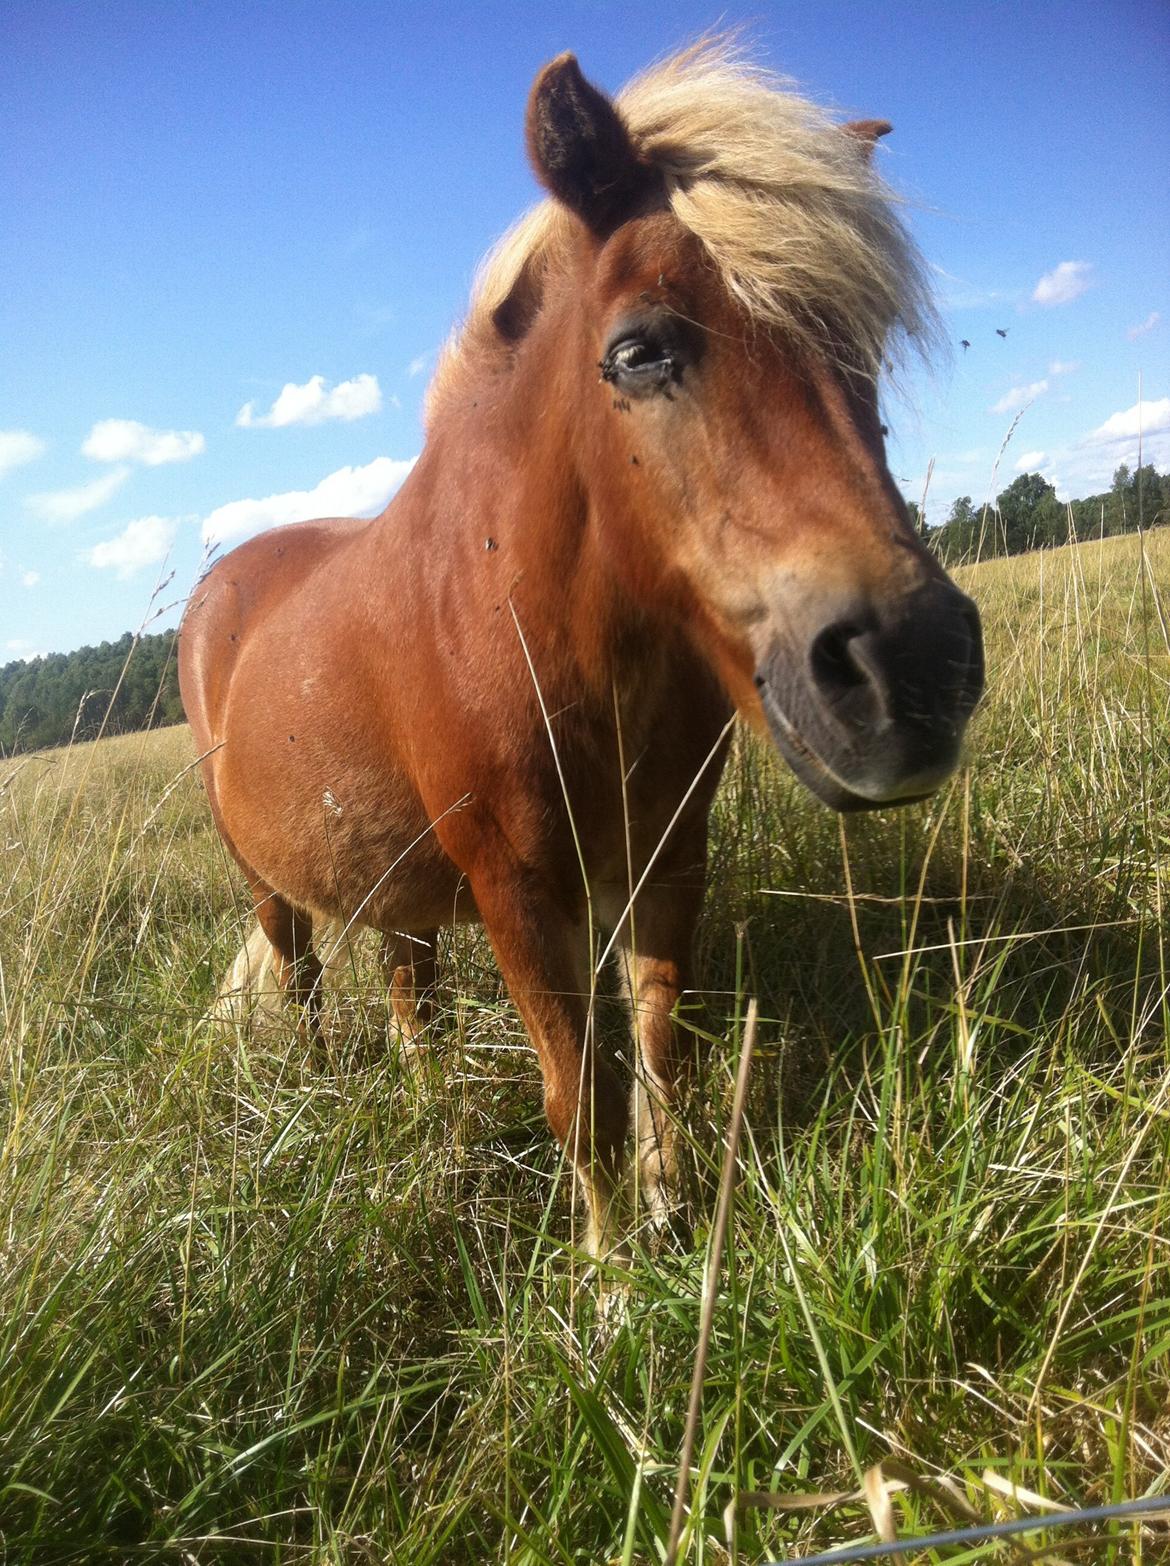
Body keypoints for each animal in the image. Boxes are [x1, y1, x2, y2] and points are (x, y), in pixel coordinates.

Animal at [178, 45, 983, 1259]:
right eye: (638, 352)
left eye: (862, 346)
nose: (915, 669)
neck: (545, 618)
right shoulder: (518, 888)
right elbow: (583, 1095)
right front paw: (609, 1274)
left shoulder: (666, 856)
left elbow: (657, 1054)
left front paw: (672, 1216)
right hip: (269, 880)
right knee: (305, 978)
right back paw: (321, 1102)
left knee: (409, 990)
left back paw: (434, 1118)